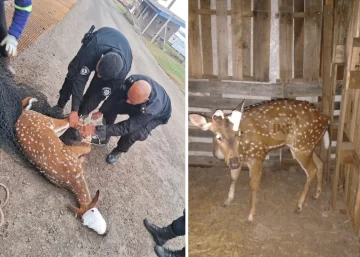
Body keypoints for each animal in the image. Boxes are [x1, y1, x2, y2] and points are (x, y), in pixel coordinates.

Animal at [15, 96, 108, 234]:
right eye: (91, 217)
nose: (105, 232)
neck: (73, 179)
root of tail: (23, 113)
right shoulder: (70, 152)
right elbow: (88, 148)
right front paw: (87, 137)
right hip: (48, 122)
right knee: (68, 120)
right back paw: (84, 124)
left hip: (53, 129)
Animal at [190, 99, 330, 221]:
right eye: (218, 136)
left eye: (238, 133)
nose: (233, 161)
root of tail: (326, 118)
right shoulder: (239, 160)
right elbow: (233, 178)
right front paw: (227, 201)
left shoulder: (257, 155)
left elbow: (253, 184)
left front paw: (250, 216)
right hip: (306, 146)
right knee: (320, 163)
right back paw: (316, 194)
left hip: (302, 145)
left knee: (312, 170)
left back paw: (299, 206)